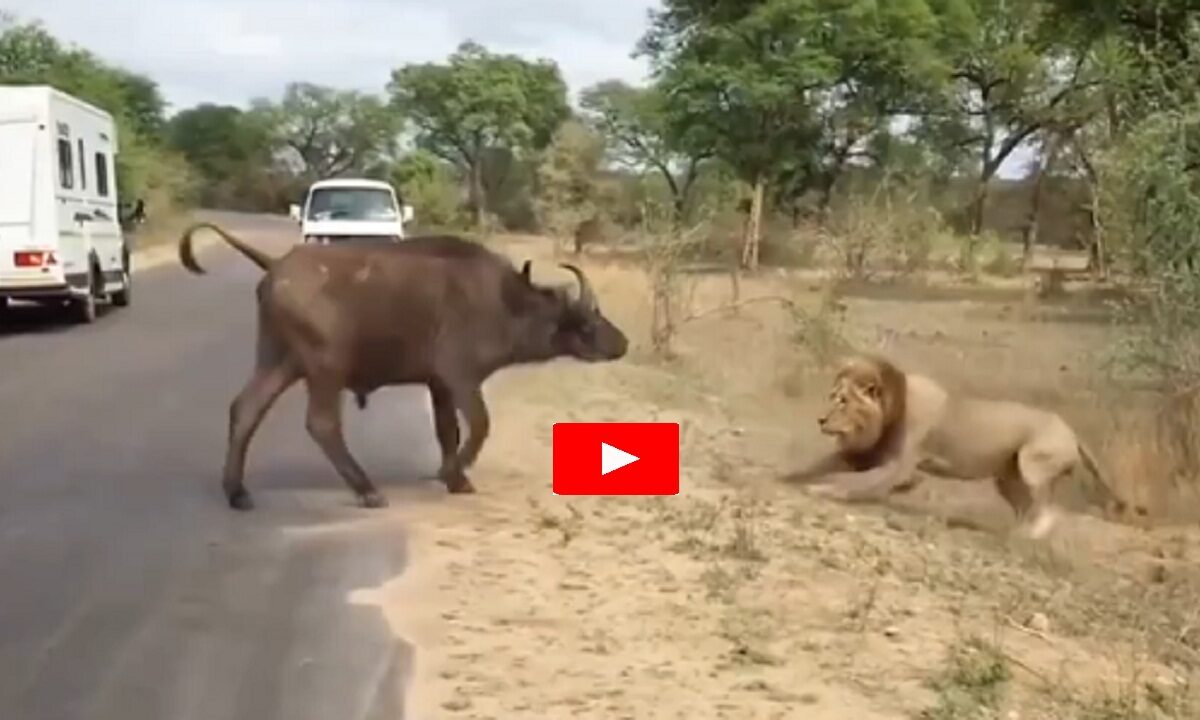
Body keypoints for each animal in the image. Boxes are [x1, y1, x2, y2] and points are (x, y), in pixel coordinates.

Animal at [178, 223, 629, 510]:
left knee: (246, 409)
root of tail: (276, 264)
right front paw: (453, 472)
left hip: (279, 360)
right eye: (588, 322)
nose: (622, 343)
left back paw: (237, 492)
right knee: (321, 423)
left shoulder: (439, 386)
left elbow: (448, 431)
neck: (504, 301)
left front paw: (455, 477)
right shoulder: (460, 378)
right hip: (325, 367)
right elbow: (480, 425)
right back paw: (367, 490)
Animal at [783, 353, 1134, 539]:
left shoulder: (898, 467)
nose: (820, 419)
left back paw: (1029, 536)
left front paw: (823, 490)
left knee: (1048, 509)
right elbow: (820, 466)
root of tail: (1072, 431)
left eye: (843, 401)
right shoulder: (865, 454)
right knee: (1025, 506)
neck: (889, 412)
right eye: (832, 396)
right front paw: (787, 477)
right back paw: (1010, 534)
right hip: (1007, 478)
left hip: (1032, 465)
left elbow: (853, 482)